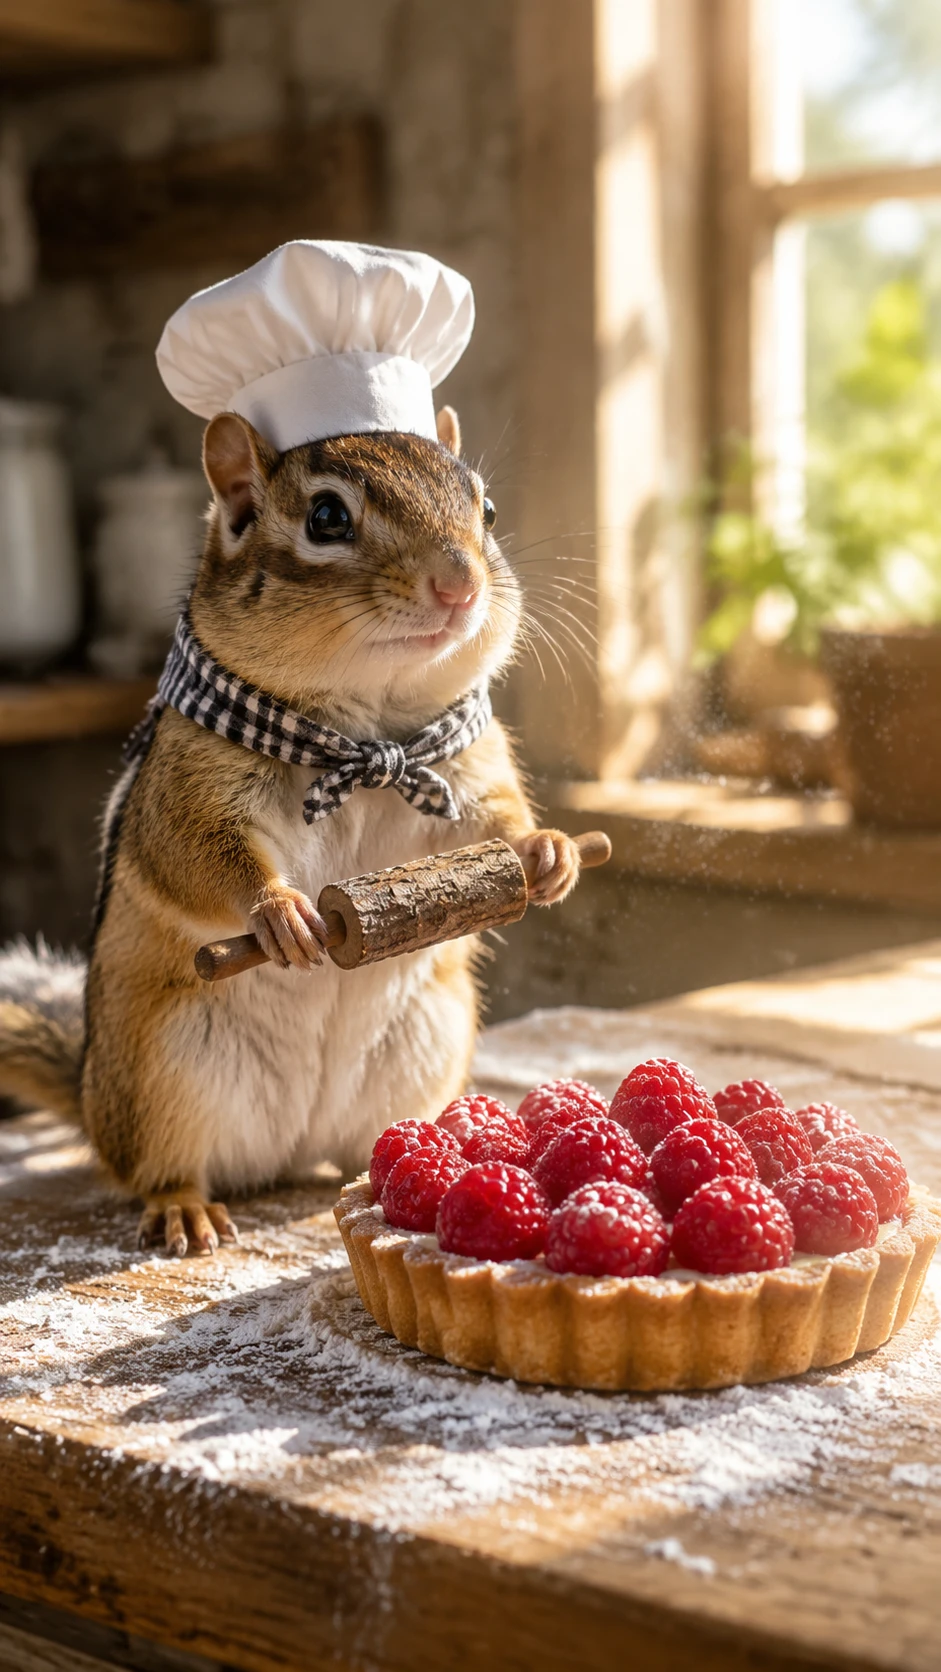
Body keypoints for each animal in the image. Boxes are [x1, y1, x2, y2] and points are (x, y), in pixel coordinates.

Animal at [0, 404, 581, 1255]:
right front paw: (280, 913)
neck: (368, 734)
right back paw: (184, 1208)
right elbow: (198, 855)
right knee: (157, 1169)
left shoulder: (468, 770)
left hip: (425, 1051)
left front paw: (549, 850)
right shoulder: (189, 791)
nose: (461, 584)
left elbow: (496, 820)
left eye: (489, 512)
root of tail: (290, 1151)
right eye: (327, 518)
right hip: (163, 1078)